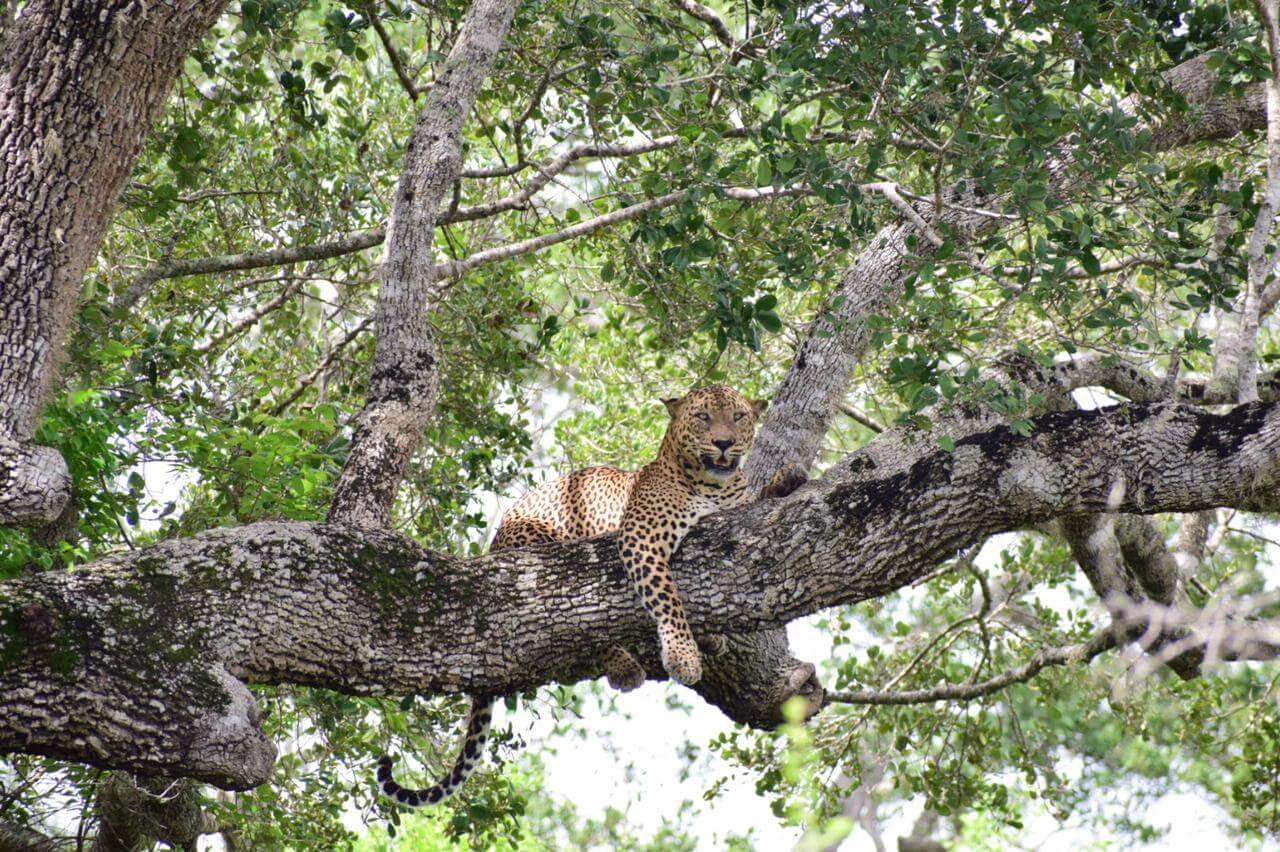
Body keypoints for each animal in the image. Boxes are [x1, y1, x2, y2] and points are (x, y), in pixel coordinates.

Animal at [377, 384, 803, 807]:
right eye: (703, 417)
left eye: (739, 417)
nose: (723, 443)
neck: (714, 487)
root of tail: (493, 544)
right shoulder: (640, 538)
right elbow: (666, 597)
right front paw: (682, 654)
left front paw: (785, 482)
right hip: (542, 546)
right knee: (574, 621)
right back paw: (626, 663)